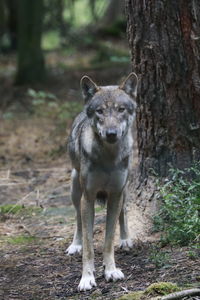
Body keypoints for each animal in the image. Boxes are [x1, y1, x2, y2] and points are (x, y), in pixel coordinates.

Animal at [66, 72, 138, 290]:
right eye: (100, 111)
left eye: (121, 109)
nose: (111, 133)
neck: (108, 158)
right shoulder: (88, 198)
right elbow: (89, 246)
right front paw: (87, 278)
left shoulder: (115, 195)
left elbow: (108, 240)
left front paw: (111, 270)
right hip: (75, 190)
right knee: (77, 220)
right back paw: (75, 245)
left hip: (124, 191)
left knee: (123, 213)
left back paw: (125, 240)